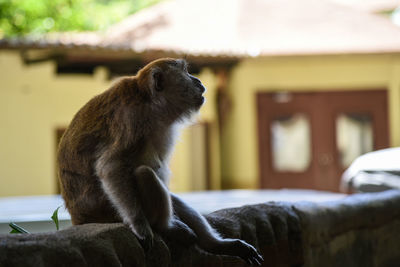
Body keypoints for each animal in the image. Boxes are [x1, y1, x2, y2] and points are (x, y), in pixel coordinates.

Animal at [55, 58, 262, 266]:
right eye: (185, 72)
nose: (198, 80)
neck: (150, 103)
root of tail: (79, 218)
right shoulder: (131, 119)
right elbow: (110, 167)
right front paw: (139, 225)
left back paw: (215, 244)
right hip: (108, 213)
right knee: (144, 173)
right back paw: (165, 227)